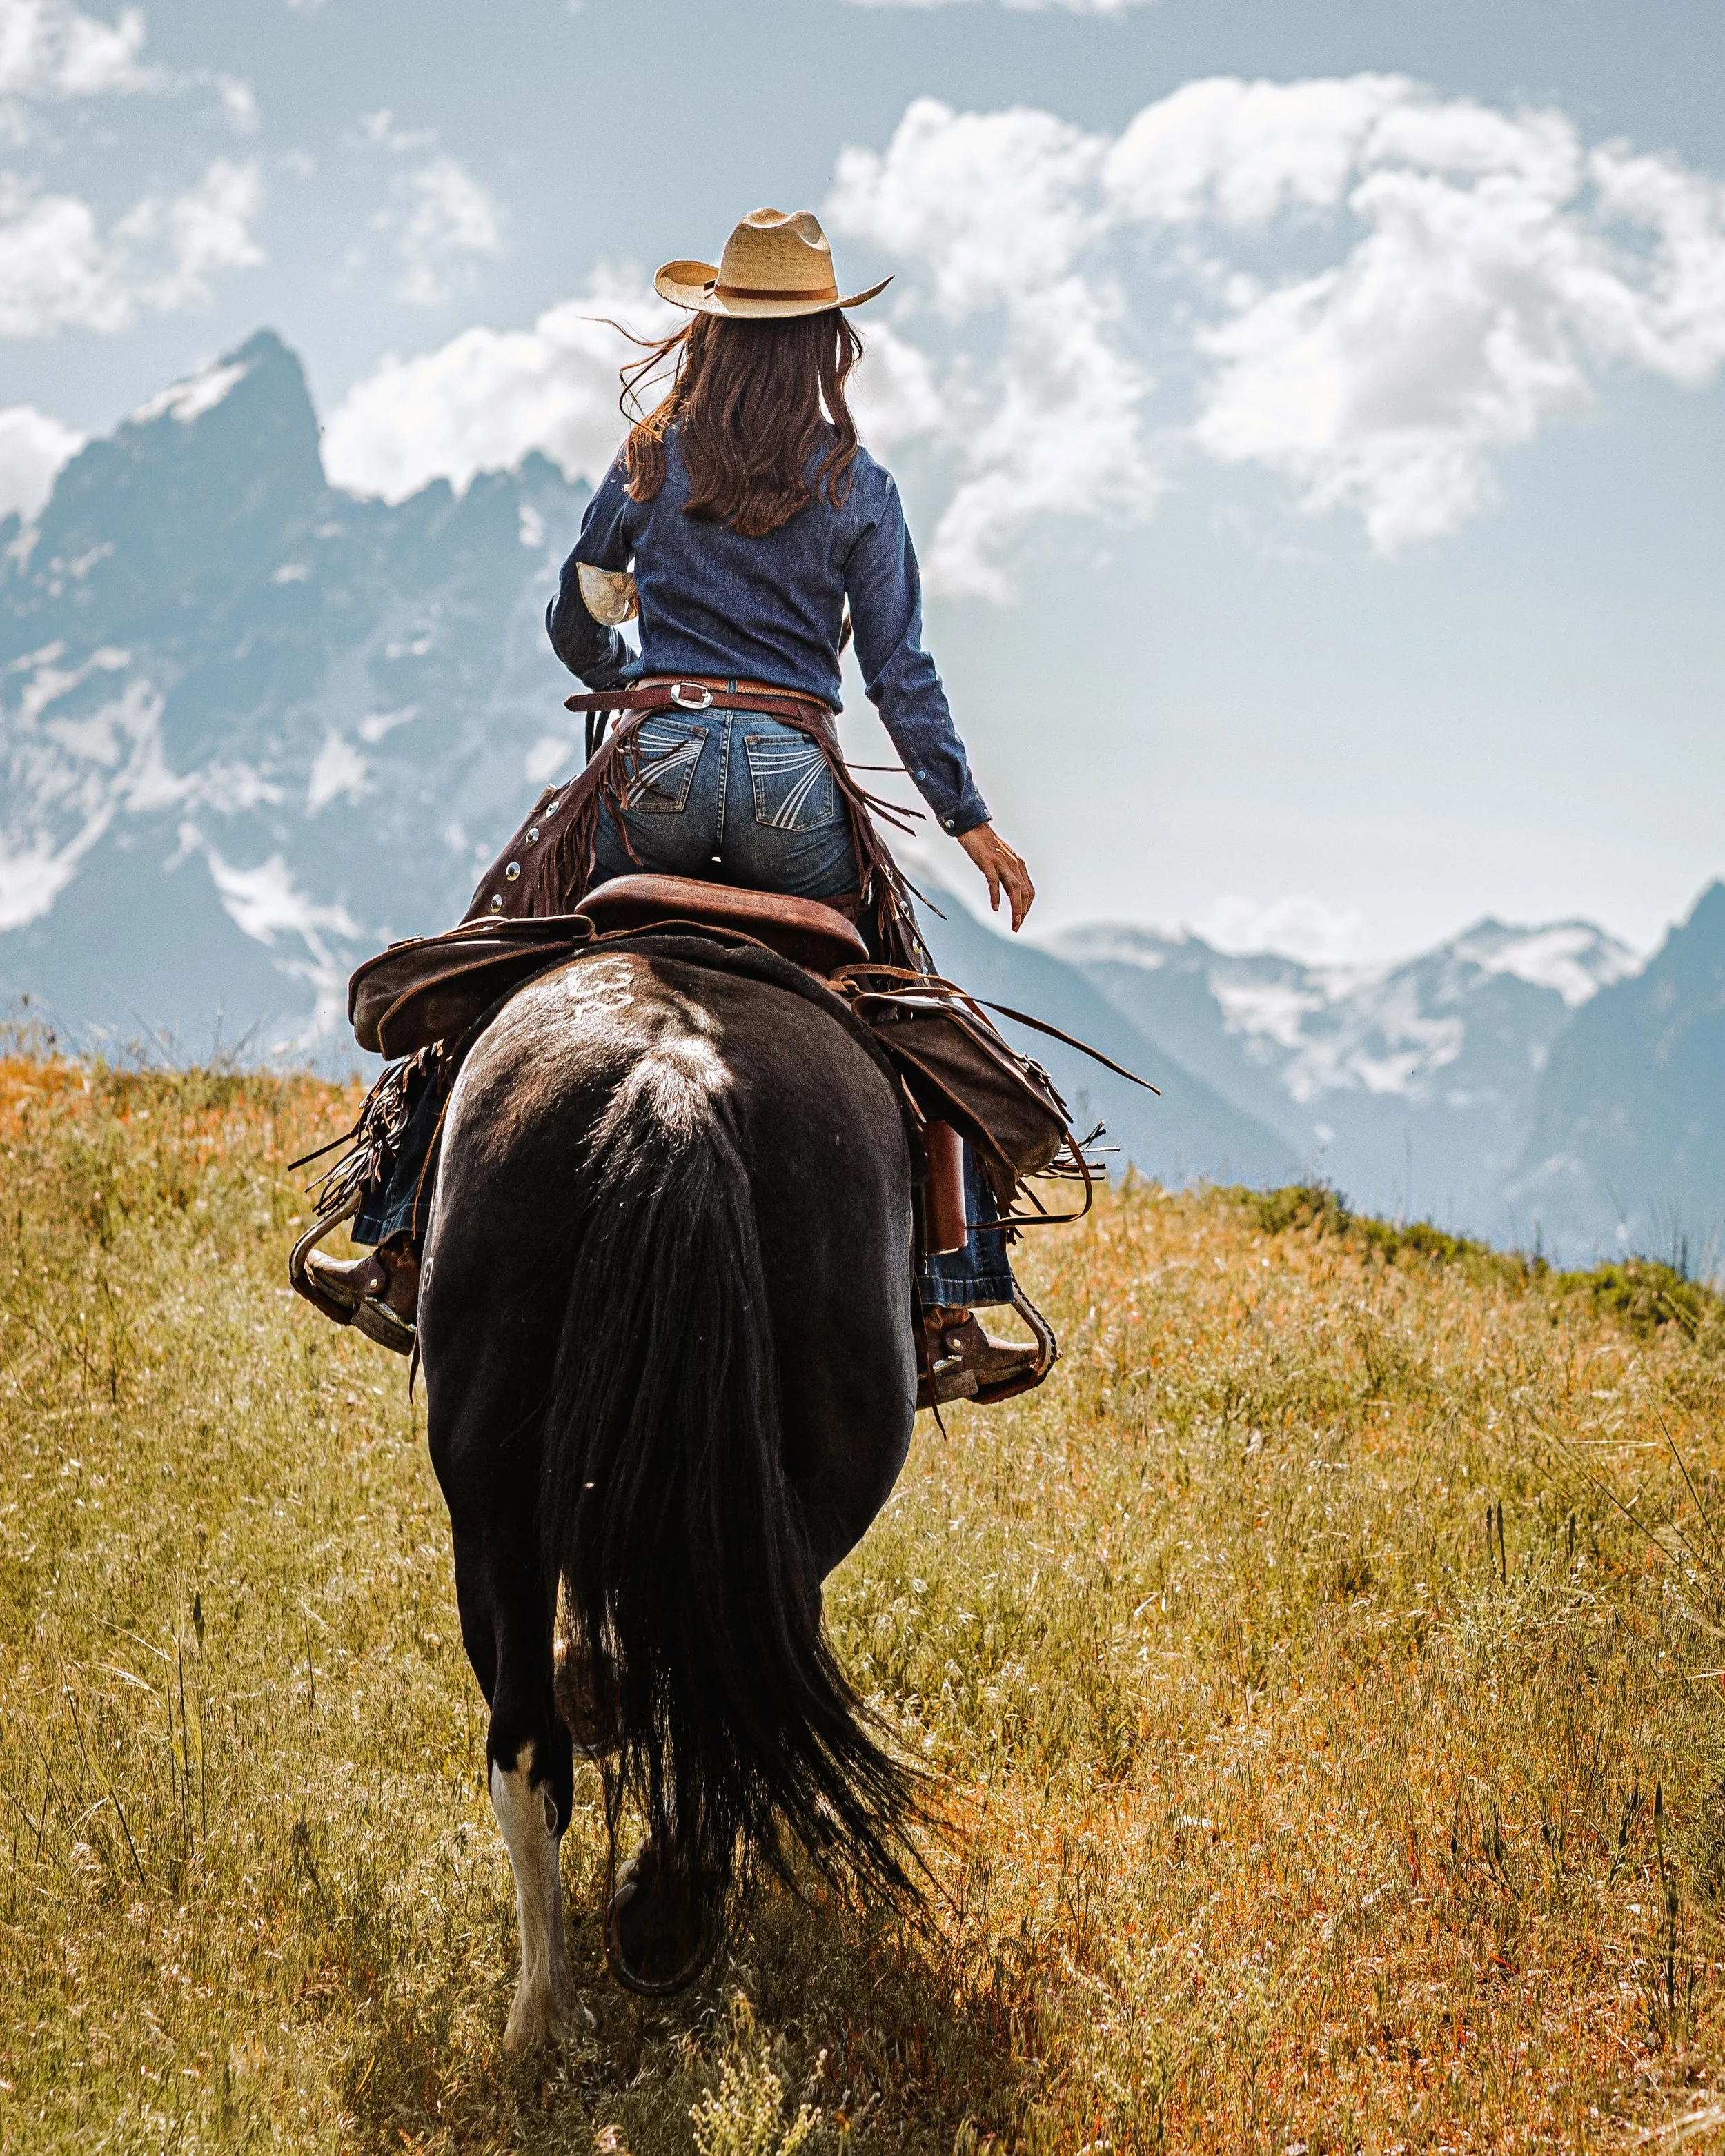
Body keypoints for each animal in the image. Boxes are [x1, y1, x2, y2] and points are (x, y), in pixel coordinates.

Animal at [418, 941, 927, 2046]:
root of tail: (677, 1076)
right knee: (701, 1687)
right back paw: (641, 1936)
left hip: (494, 1510)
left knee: (534, 1740)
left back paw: (553, 2008)